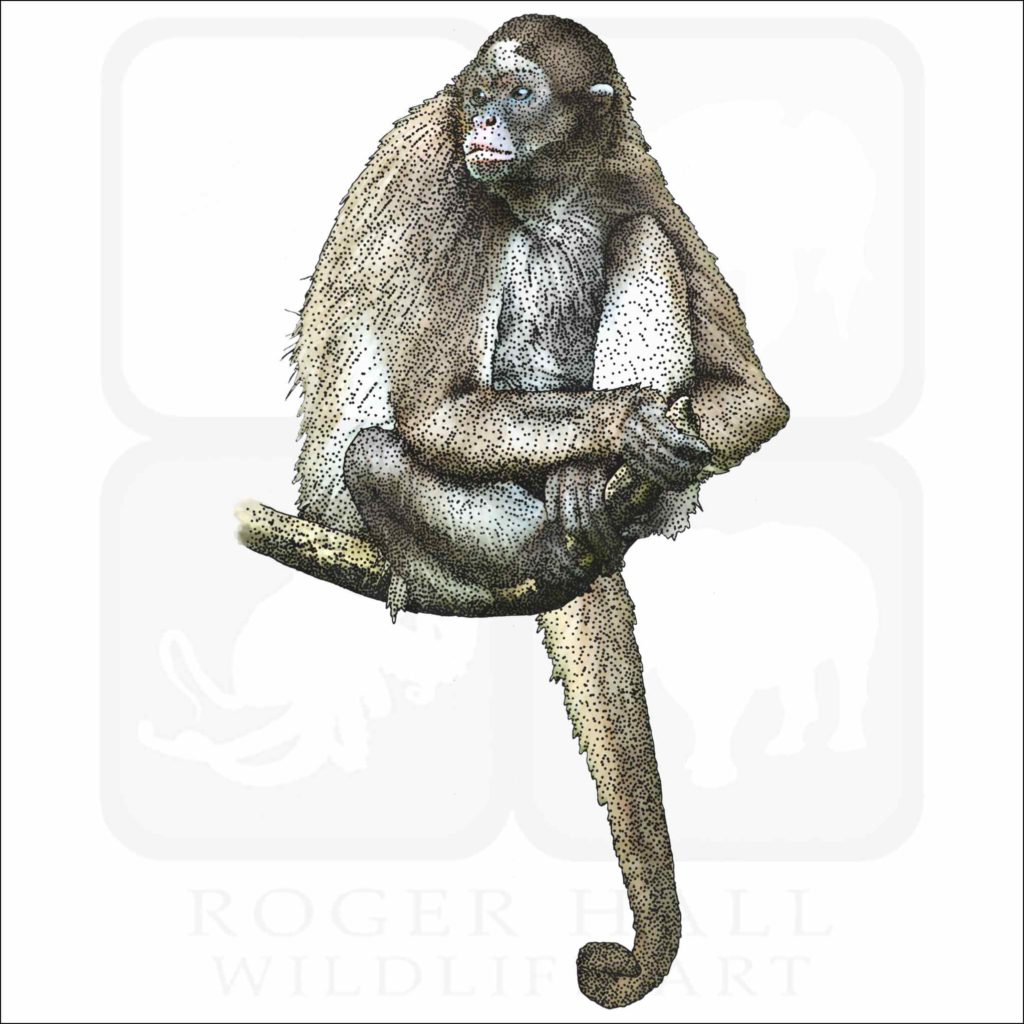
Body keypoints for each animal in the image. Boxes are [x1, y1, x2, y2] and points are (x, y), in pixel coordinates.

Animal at [282, 14, 789, 1009]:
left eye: (518, 95)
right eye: (481, 93)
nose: (483, 118)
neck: (545, 188)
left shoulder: (630, 168)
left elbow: (753, 397)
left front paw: (623, 440)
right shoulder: (449, 179)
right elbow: (434, 415)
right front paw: (620, 426)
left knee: (640, 238)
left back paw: (599, 494)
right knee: (373, 456)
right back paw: (560, 535)